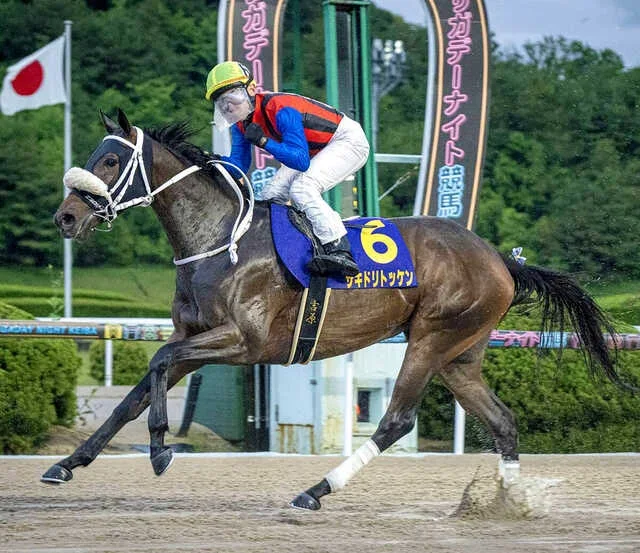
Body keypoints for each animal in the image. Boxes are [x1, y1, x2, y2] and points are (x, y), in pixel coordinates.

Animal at [45, 109, 620, 511]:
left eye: (110, 161)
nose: (66, 217)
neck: (219, 239)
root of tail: (500, 258)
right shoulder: (196, 338)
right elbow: (135, 395)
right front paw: (68, 463)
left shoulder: (244, 341)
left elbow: (158, 363)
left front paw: (162, 450)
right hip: (460, 355)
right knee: (502, 422)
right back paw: (508, 505)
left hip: (431, 337)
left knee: (396, 420)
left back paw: (314, 491)